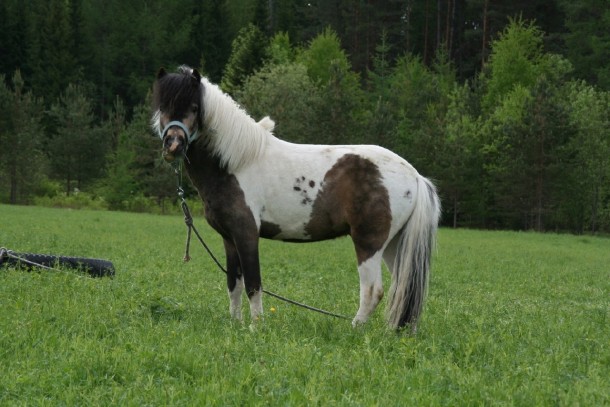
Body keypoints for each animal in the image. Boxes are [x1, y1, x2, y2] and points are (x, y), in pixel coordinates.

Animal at [150, 65, 440, 330]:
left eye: (194, 107)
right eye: (163, 107)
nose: (173, 144)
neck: (236, 163)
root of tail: (414, 175)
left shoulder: (246, 233)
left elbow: (253, 283)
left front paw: (256, 327)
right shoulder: (229, 238)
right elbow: (234, 283)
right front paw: (236, 324)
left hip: (369, 243)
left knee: (373, 290)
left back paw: (355, 329)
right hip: (393, 245)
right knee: (400, 287)